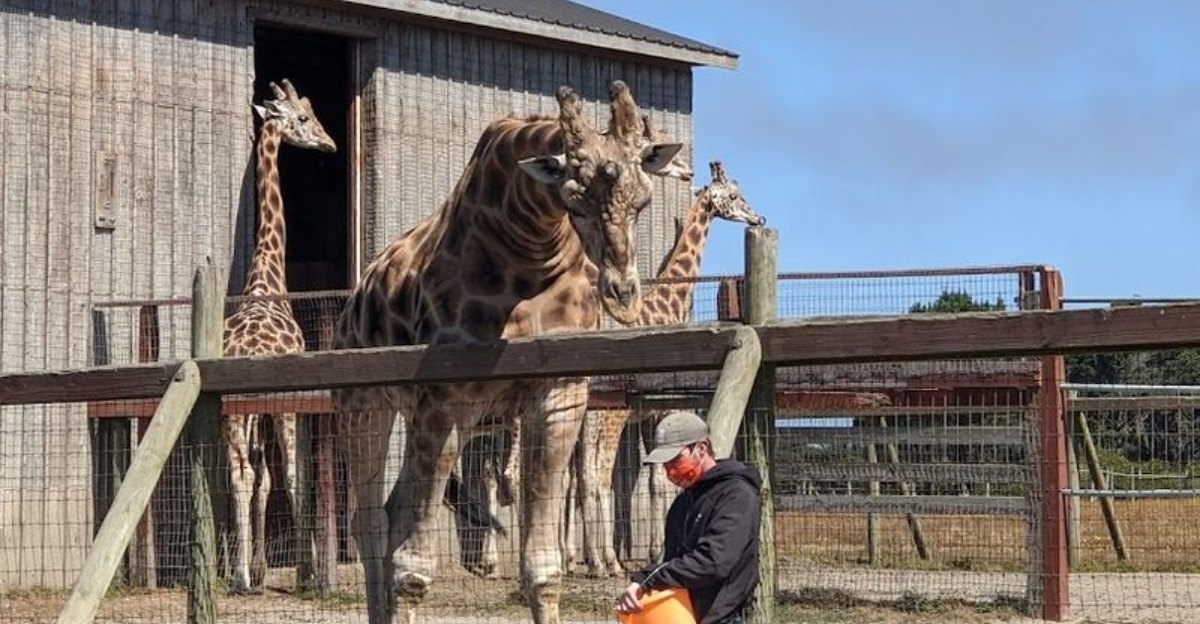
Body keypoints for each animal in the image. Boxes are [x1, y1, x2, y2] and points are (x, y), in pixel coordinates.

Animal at [333, 81, 681, 624]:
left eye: (643, 202)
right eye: (574, 200)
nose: (623, 294)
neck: (529, 251)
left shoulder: (559, 396)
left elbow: (542, 565)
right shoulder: (443, 397)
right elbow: (413, 568)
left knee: (390, 516)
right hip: (363, 406)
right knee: (369, 523)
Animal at [578, 161, 762, 577]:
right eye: (735, 195)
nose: (759, 217)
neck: (668, 303)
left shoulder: (649, 417)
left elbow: (654, 478)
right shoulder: (663, 406)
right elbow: (658, 481)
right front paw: (655, 552)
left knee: (579, 479)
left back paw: (585, 560)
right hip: (608, 417)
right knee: (596, 477)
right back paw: (606, 563)